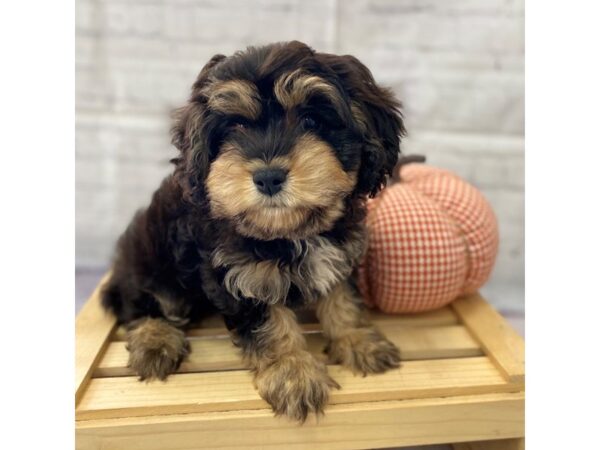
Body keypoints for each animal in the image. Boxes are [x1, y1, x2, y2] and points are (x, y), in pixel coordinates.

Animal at [102, 39, 404, 422]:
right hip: (149, 258)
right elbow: (271, 325)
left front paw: (357, 339)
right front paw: (293, 373)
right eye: (235, 127)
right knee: (141, 303)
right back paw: (155, 341)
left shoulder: (339, 252)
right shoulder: (242, 276)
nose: (268, 176)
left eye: (311, 120)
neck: (290, 233)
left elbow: (342, 297)